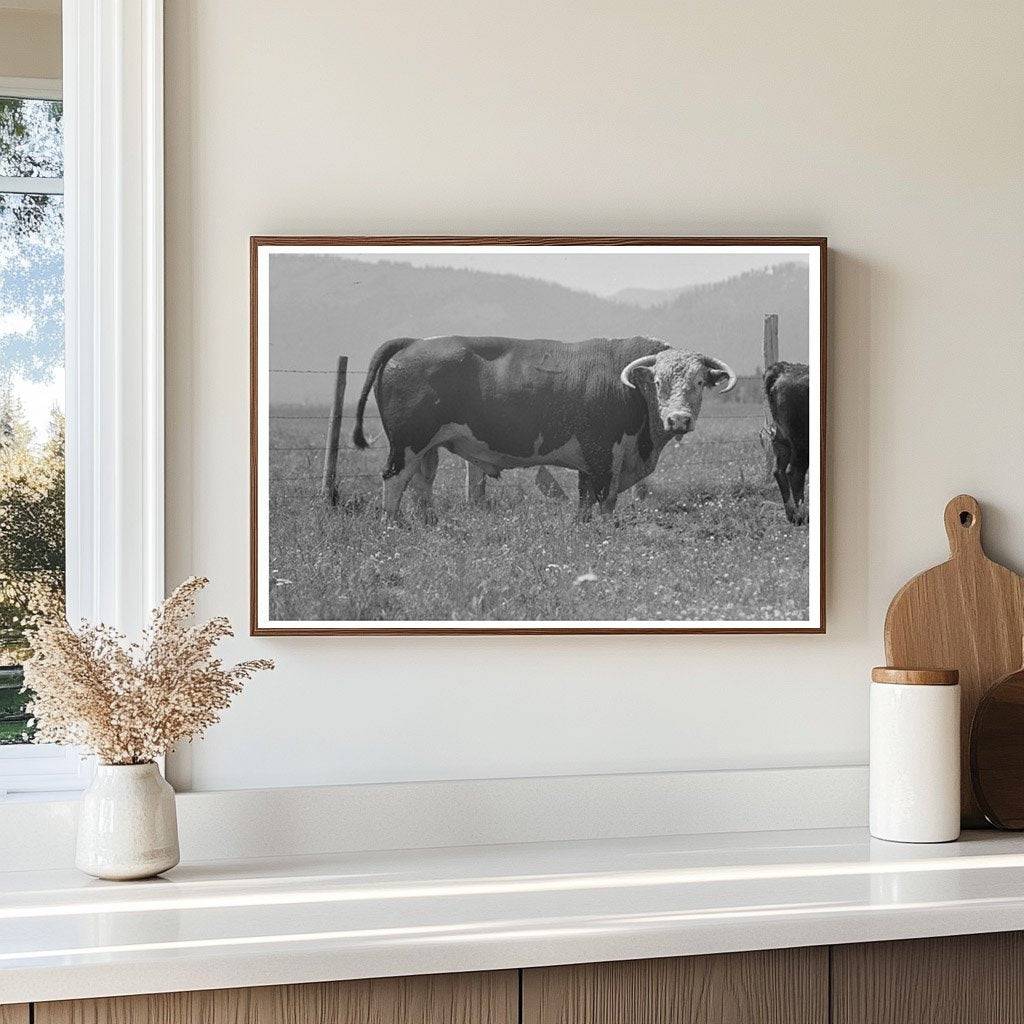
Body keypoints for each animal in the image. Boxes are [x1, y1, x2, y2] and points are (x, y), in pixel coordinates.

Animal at [352, 335, 737, 521]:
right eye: (657, 383)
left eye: (700, 382)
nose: (679, 420)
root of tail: (414, 343)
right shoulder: (602, 455)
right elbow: (605, 501)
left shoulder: (591, 462)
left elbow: (584, 501)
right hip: (407, 443)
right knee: (394, 479)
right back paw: (392, 525)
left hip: (426, 446)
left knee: (421, 482)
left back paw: (429, 523)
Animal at [764, 360, 810, 525]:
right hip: (801, 443)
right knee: (795, 472)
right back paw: (802, 517)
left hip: (781, 440)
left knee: (779, 470)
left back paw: (792, 515)